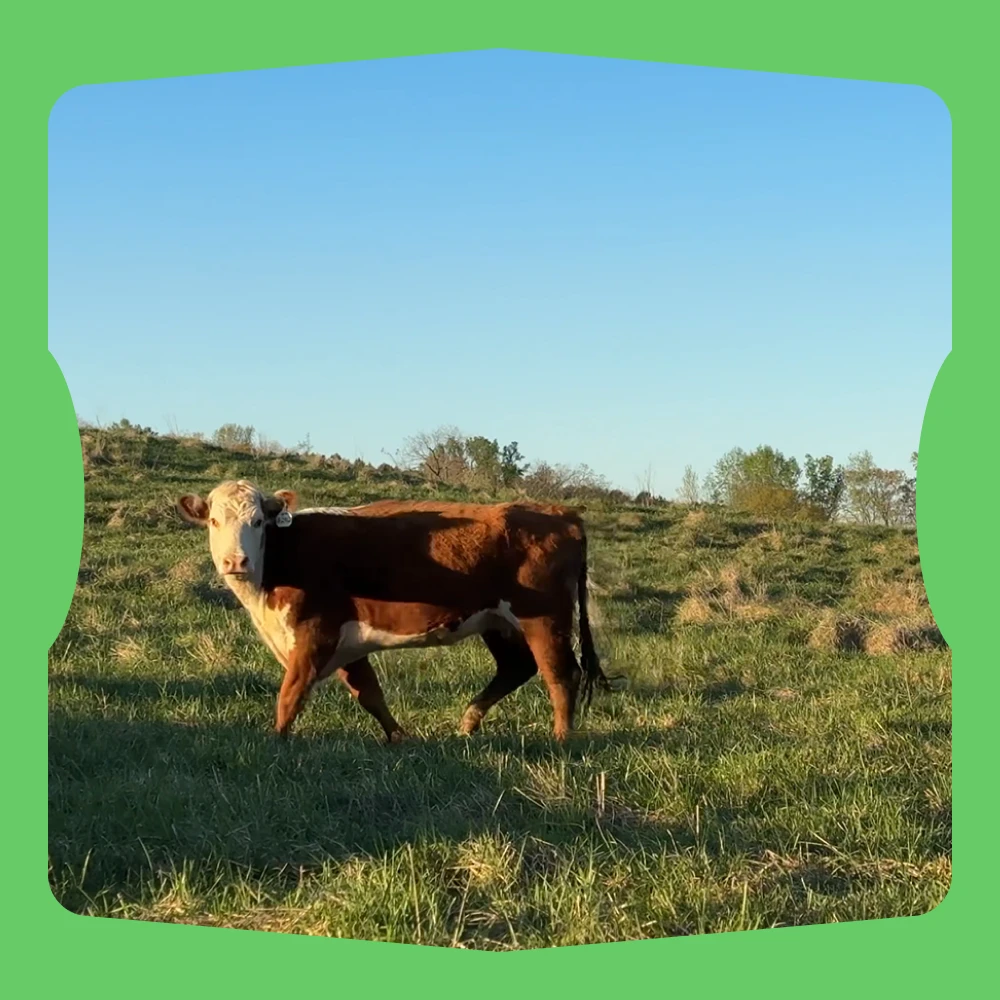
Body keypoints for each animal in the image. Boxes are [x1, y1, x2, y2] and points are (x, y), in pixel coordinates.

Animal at [176, 480, 620, 748]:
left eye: (257, 521)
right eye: (214, 520)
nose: (236, 561)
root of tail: (561, 513)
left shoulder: (316, 634)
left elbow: (290, 696)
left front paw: (277, 742)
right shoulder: (348, 642)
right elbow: (369, 693)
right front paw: (398, 738)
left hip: (544, 619)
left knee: (560, 675)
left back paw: (561, 739)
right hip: (498, 622)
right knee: (517, 668)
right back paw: (468, 722)